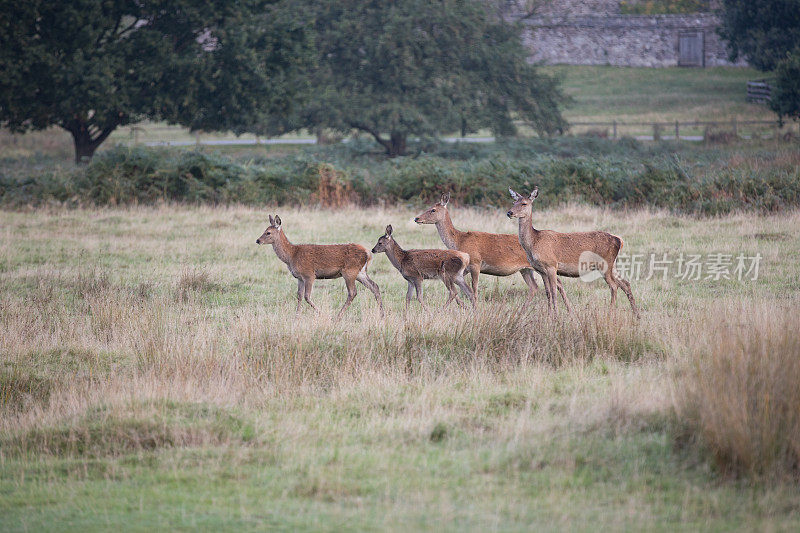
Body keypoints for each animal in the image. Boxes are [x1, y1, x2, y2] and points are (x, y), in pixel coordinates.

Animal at [416, 193, 564, 306]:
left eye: (433, 210)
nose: (416, 218)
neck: (459, 241)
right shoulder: (464, 269)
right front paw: (463, 306)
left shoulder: (475, 263)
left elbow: (474, 289)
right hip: (526, 269)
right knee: (535, 287)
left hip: (542, 264)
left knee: (557, 283)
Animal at [506, 188, 644, 316]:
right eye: (513, 202)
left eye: (524, 203)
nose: (509, 212)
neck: (534, 242)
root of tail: (619, 240)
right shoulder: (541, 270)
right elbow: (548, 293)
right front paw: (549, 315)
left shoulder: (551, 265)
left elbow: (554, 292)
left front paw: (556, 316)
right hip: (613, 265)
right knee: (625, 283)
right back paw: (636, 314)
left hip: (605, 263)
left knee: (614, 286)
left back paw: (610, 314)